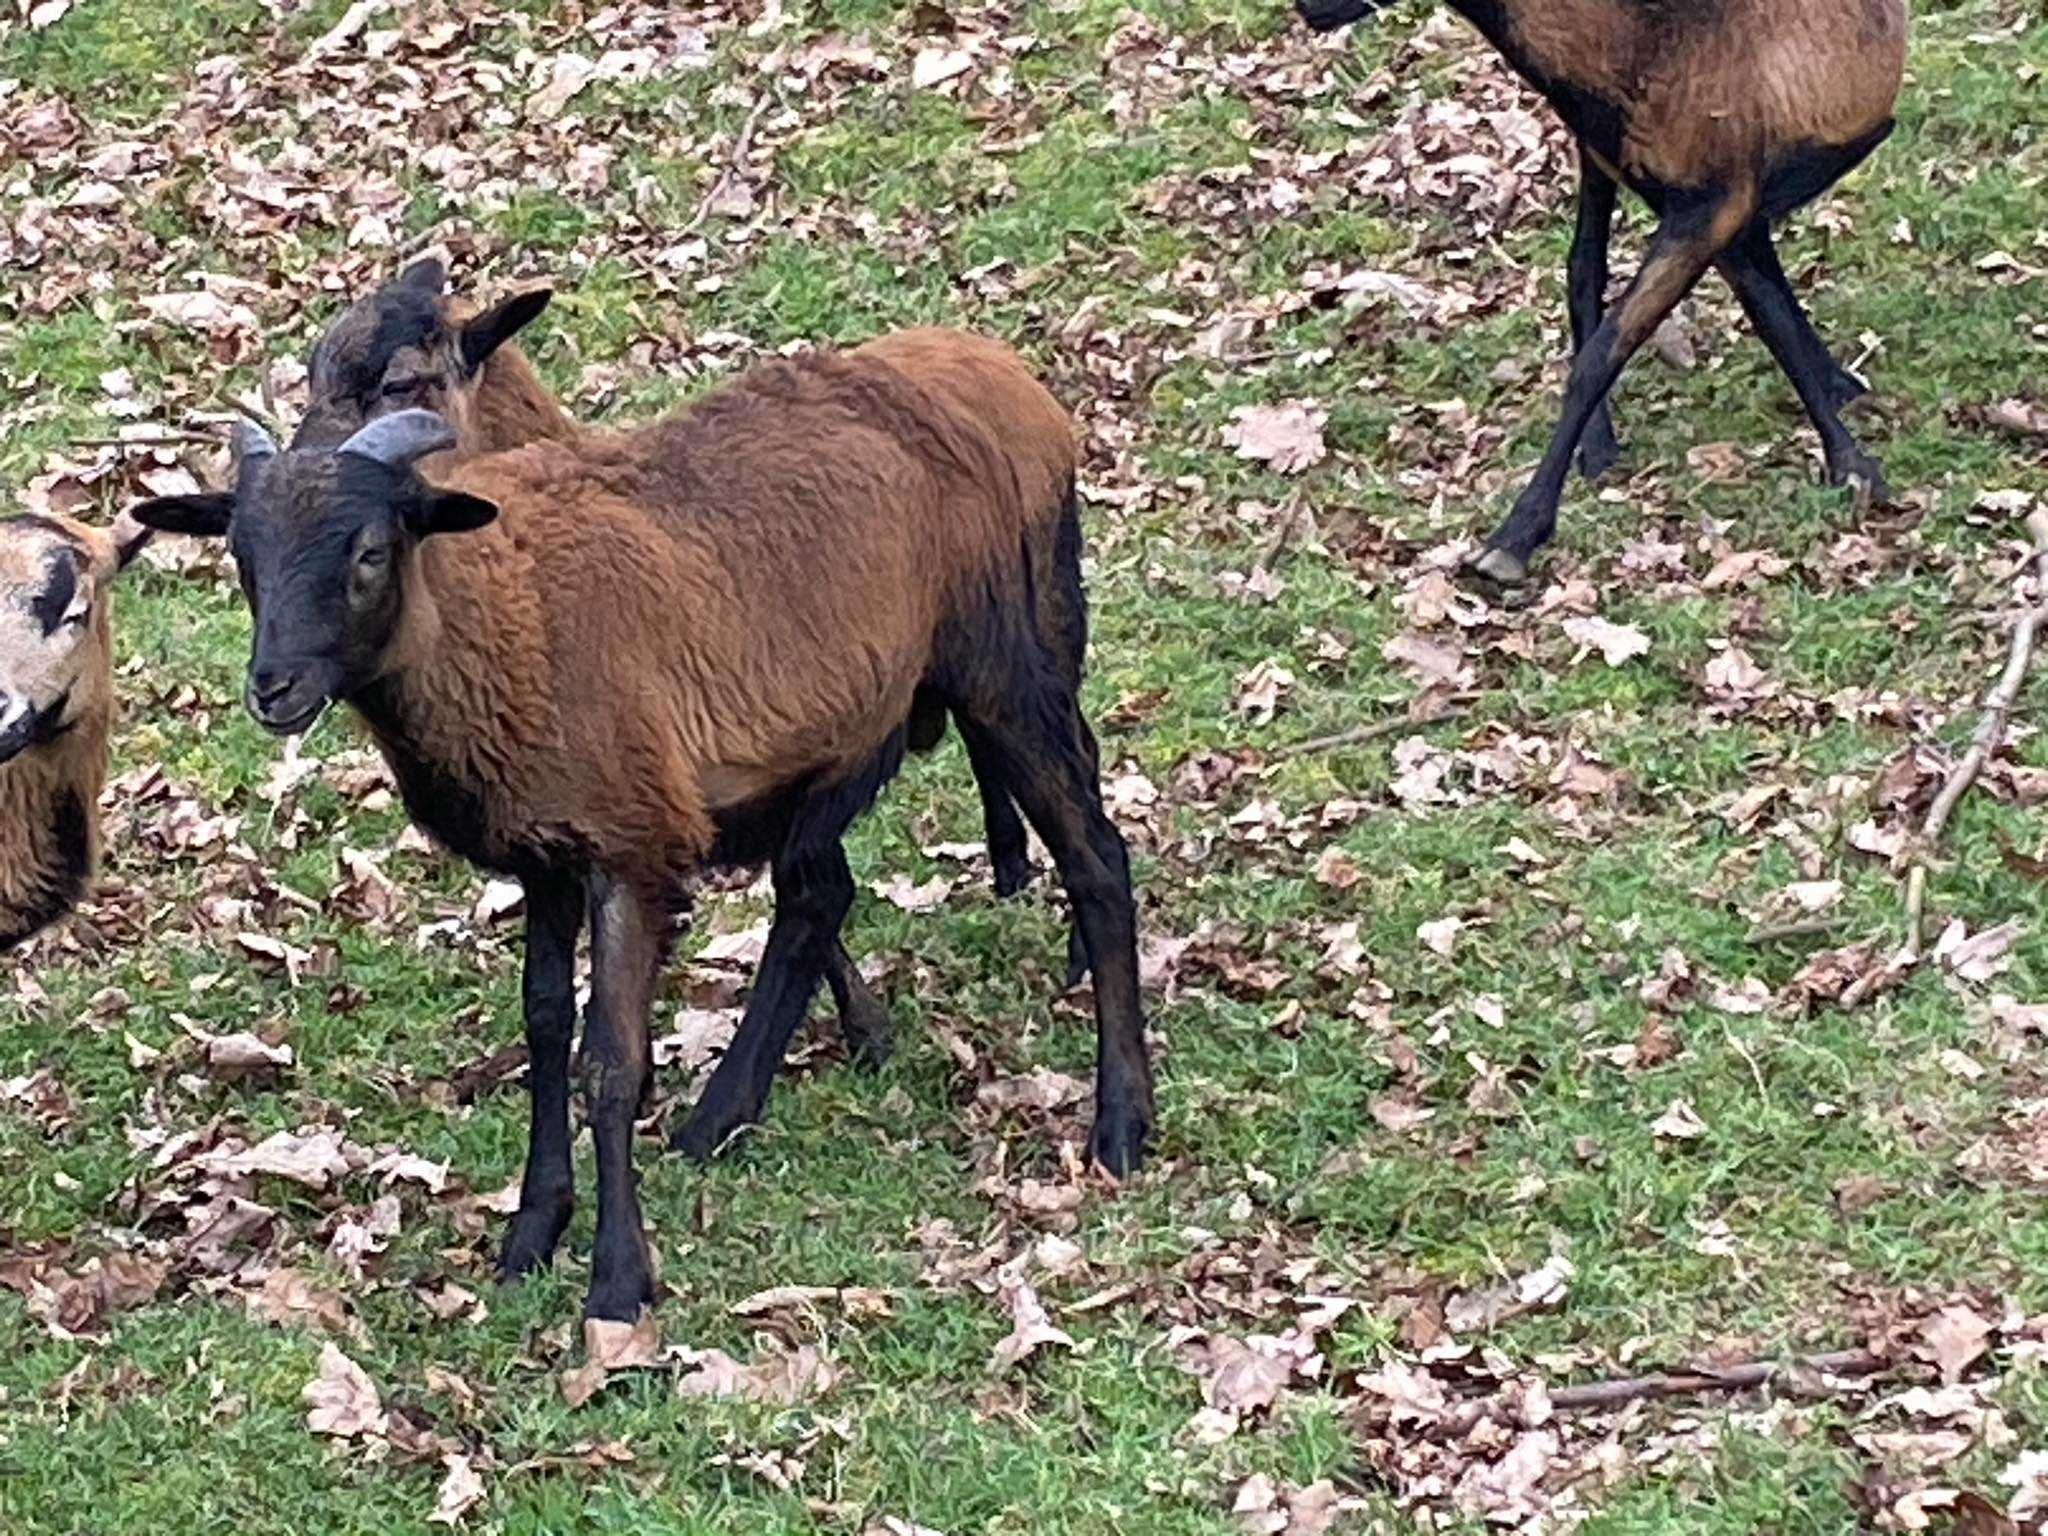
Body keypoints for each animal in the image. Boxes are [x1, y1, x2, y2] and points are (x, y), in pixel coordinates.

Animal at [132, 333, 1155, 1327]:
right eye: (244, 556)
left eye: (372, 550)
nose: (273, 688)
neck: (508, 618)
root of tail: (1006, 379)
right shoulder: (545, 854)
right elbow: (546, 1030)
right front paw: (531, 1235)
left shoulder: (632, 846)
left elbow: (612, 1062)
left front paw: (618, 1281)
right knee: (818, 897)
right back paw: (719, 1119)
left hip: (1005, 662)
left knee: (1097, 862)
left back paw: (1121, 1124)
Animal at [1302, 0, 1908, 585]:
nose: (1309, 9)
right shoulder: (1692, 195)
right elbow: (1745, 305)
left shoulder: (1715, 205)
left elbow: (1613, 350)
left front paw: (1511, 542)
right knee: (1589, 267)